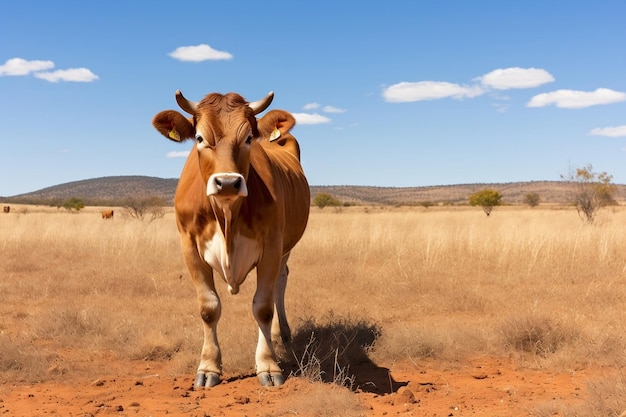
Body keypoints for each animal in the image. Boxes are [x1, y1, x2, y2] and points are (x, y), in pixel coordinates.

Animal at [151, 90, 308, 386]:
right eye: (200, 138)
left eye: (248, 138)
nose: (226, 183)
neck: (227, 216)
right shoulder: (189, 247)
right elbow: (209, 307)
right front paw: (208, 367)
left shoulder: (272, 245)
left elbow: (263, 307)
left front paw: (268, 365)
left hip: (286, 247)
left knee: (281, 283)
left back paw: (282, 334)